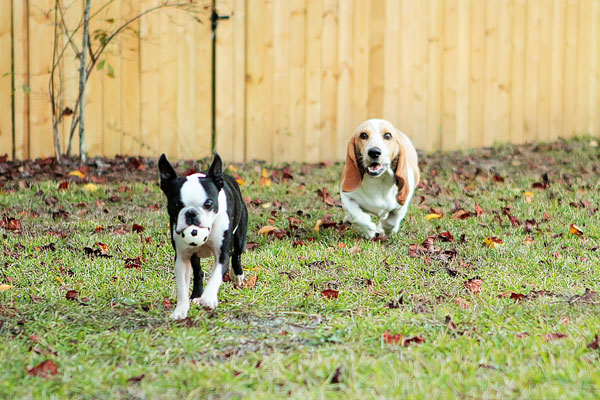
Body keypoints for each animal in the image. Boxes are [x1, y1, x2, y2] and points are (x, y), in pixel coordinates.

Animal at [159, 152, 248, 320]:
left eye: (208, 204)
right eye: (176, 205)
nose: (191, 213)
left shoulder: (222, 254)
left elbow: (216, 276)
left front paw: (208, 299)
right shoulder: (182, 258)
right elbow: (182, 287)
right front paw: (180, 310)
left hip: (240, 236)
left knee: (237, 254)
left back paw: (237, 275)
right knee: (198, 271)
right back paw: (196, 295)